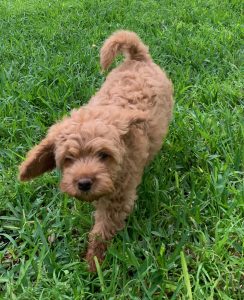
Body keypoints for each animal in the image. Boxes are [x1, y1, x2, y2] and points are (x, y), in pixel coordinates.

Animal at [20, 31, 174, 272]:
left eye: (104, 155)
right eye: (68, 159)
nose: (83, 183)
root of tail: (138, 57)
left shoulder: (118, 198)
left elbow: (103, 230)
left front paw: (94, 264)